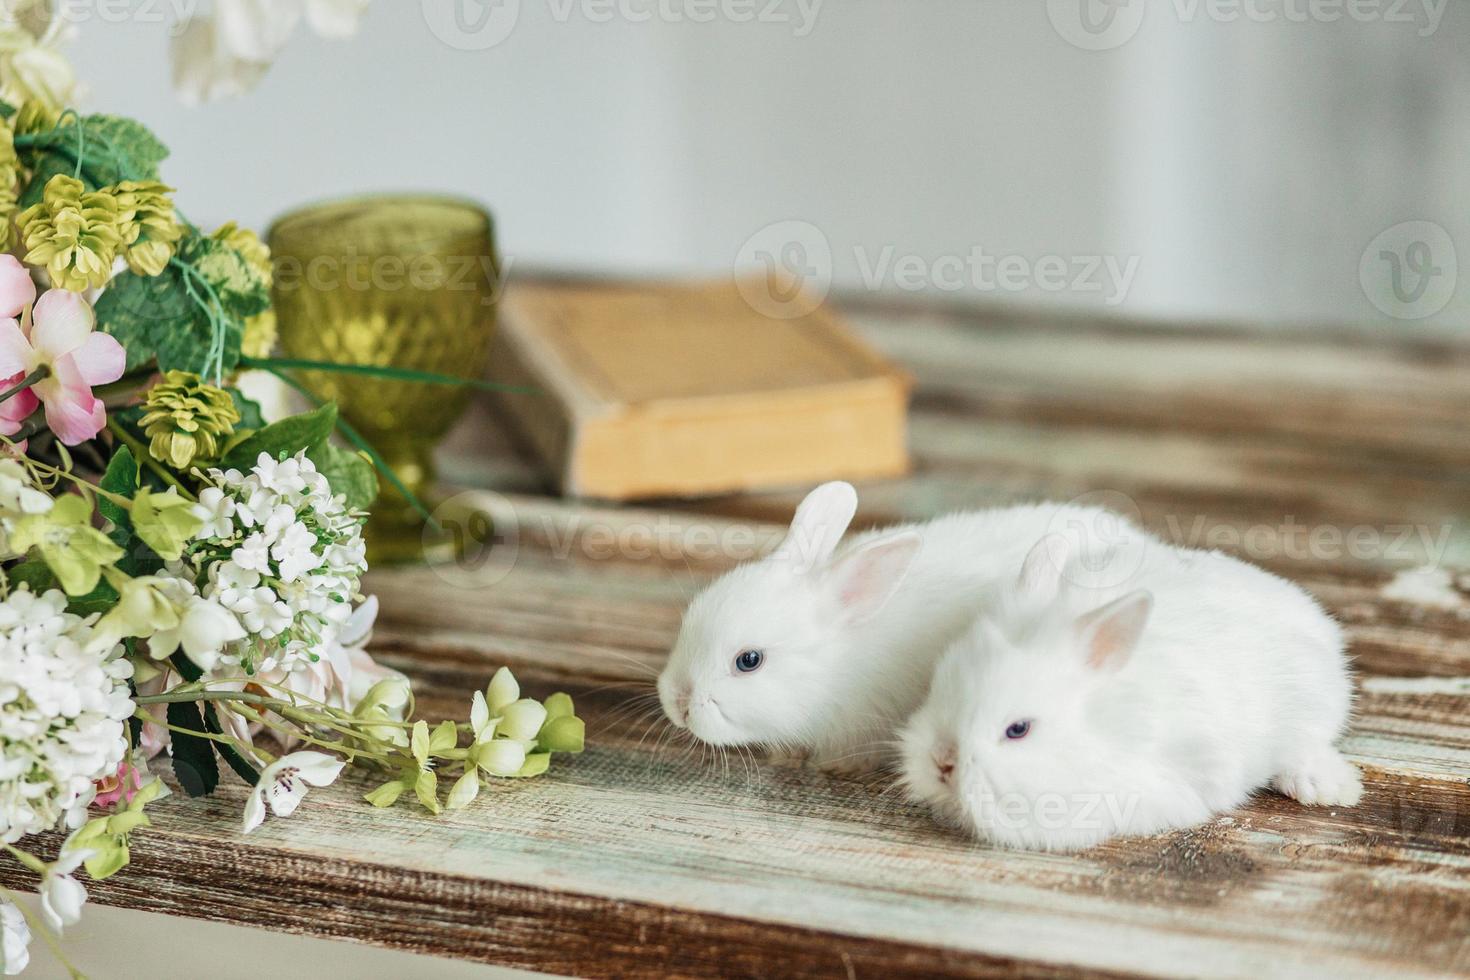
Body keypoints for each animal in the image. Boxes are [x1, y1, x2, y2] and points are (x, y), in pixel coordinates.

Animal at [899, 528, 1358, 852]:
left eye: (1018, 729)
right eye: (938, 685)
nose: (942, 762)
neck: (1101, 730)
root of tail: (1322, 627)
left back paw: (1330, 787)